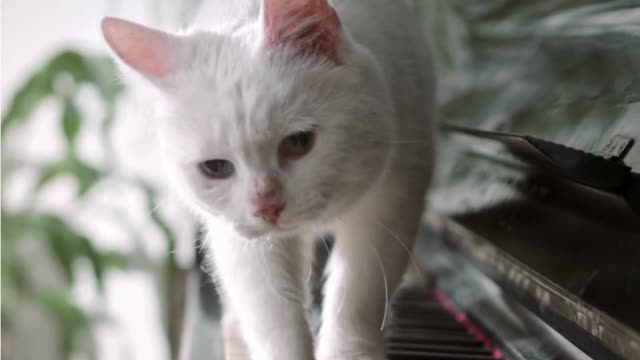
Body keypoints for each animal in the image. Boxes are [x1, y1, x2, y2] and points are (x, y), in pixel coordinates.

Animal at [102, 1, 436, 358]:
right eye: (216, 168)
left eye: (299, 142)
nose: (267, 207)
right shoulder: (245, 243)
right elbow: (274, 317)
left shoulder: (395, 194)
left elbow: (361, 292)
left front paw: (352, 351)